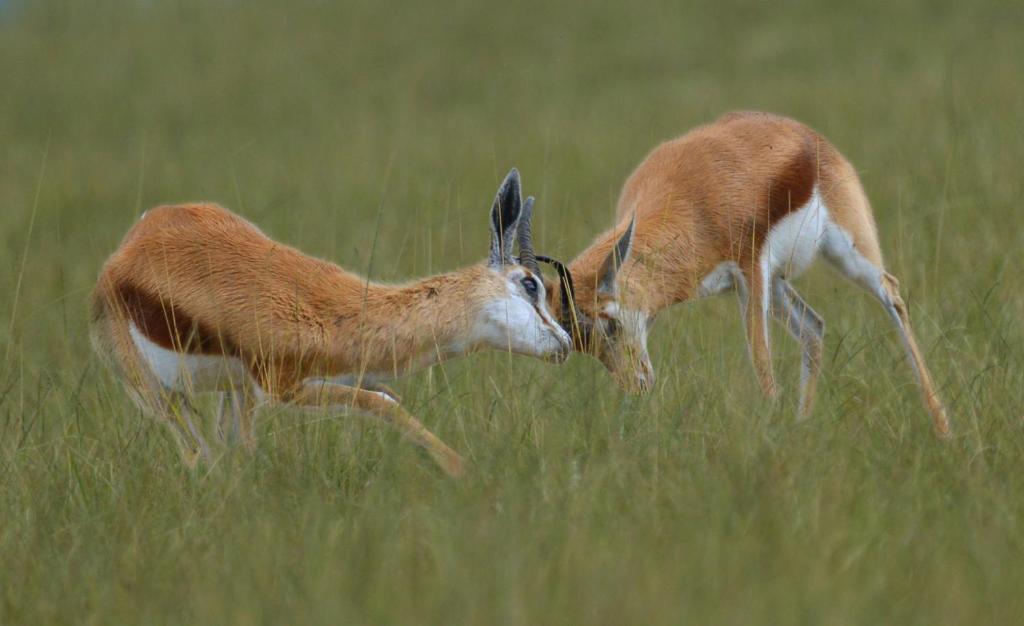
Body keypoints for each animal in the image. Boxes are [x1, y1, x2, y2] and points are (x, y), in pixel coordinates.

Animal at [89, 168, 573, 475]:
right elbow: (384, 403)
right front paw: (462, 469)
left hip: (235, 392)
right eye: (531, 284)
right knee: (196, 454)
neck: (335, 311)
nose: (565, 343)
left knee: (230, 452)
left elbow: (384, 396)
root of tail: (129, 245)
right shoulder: (281, 388)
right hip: (159, 394)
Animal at [540, 112, 954, 436]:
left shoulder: (750, 269)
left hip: (845, 252)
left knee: (891, 293)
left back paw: (943, 428)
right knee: (814, 327)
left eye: (608, 323)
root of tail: (806, 134)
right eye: (580, 343)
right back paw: (803, 427)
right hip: (778, 284)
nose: (637, 385)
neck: (692, 197)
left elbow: (761, 360)